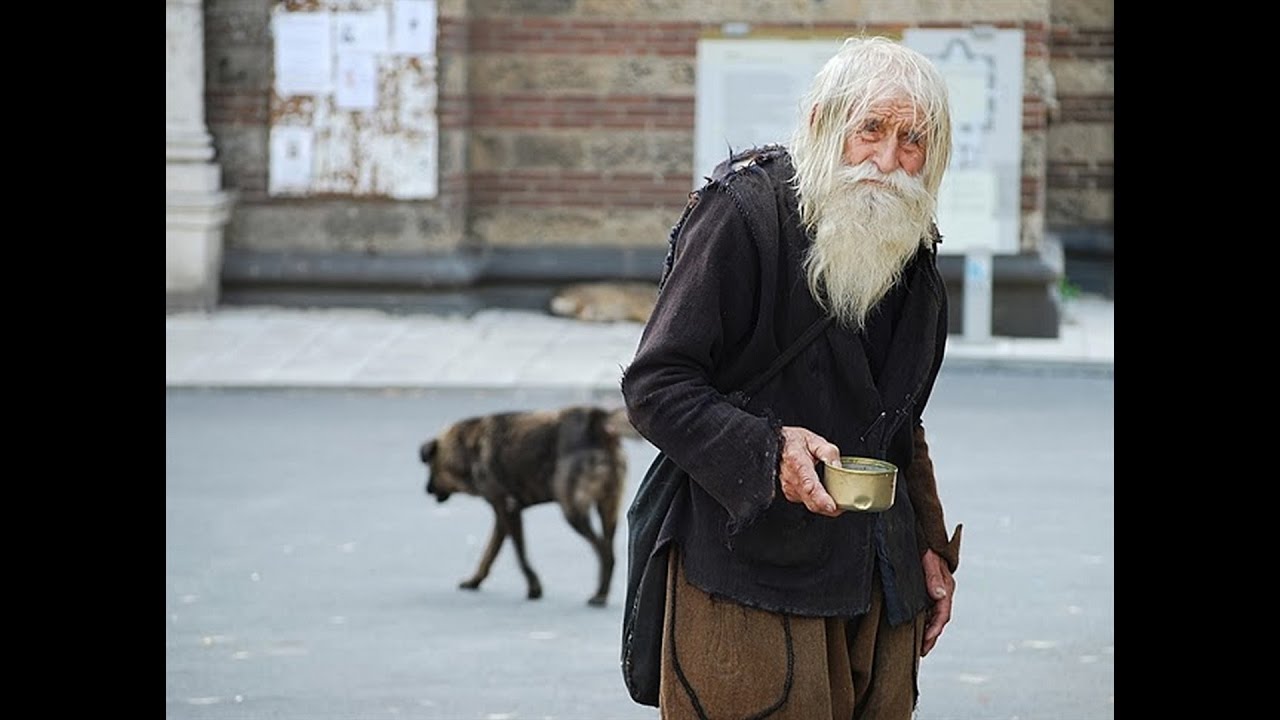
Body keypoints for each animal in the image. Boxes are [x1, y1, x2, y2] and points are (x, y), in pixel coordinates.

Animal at [417, 404, 632, 604]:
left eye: (431, 468)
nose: (426, 490)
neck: (466, 448)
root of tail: (596, 418)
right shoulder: (502, 517)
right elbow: (489, 553)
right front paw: (475, 580)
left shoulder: (508, 509)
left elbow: (520, 555)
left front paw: (534, 587)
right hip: (608, 511)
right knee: (610, 549)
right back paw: (603, 592)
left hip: (573, 511)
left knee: (605, 552)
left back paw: (600, 595)